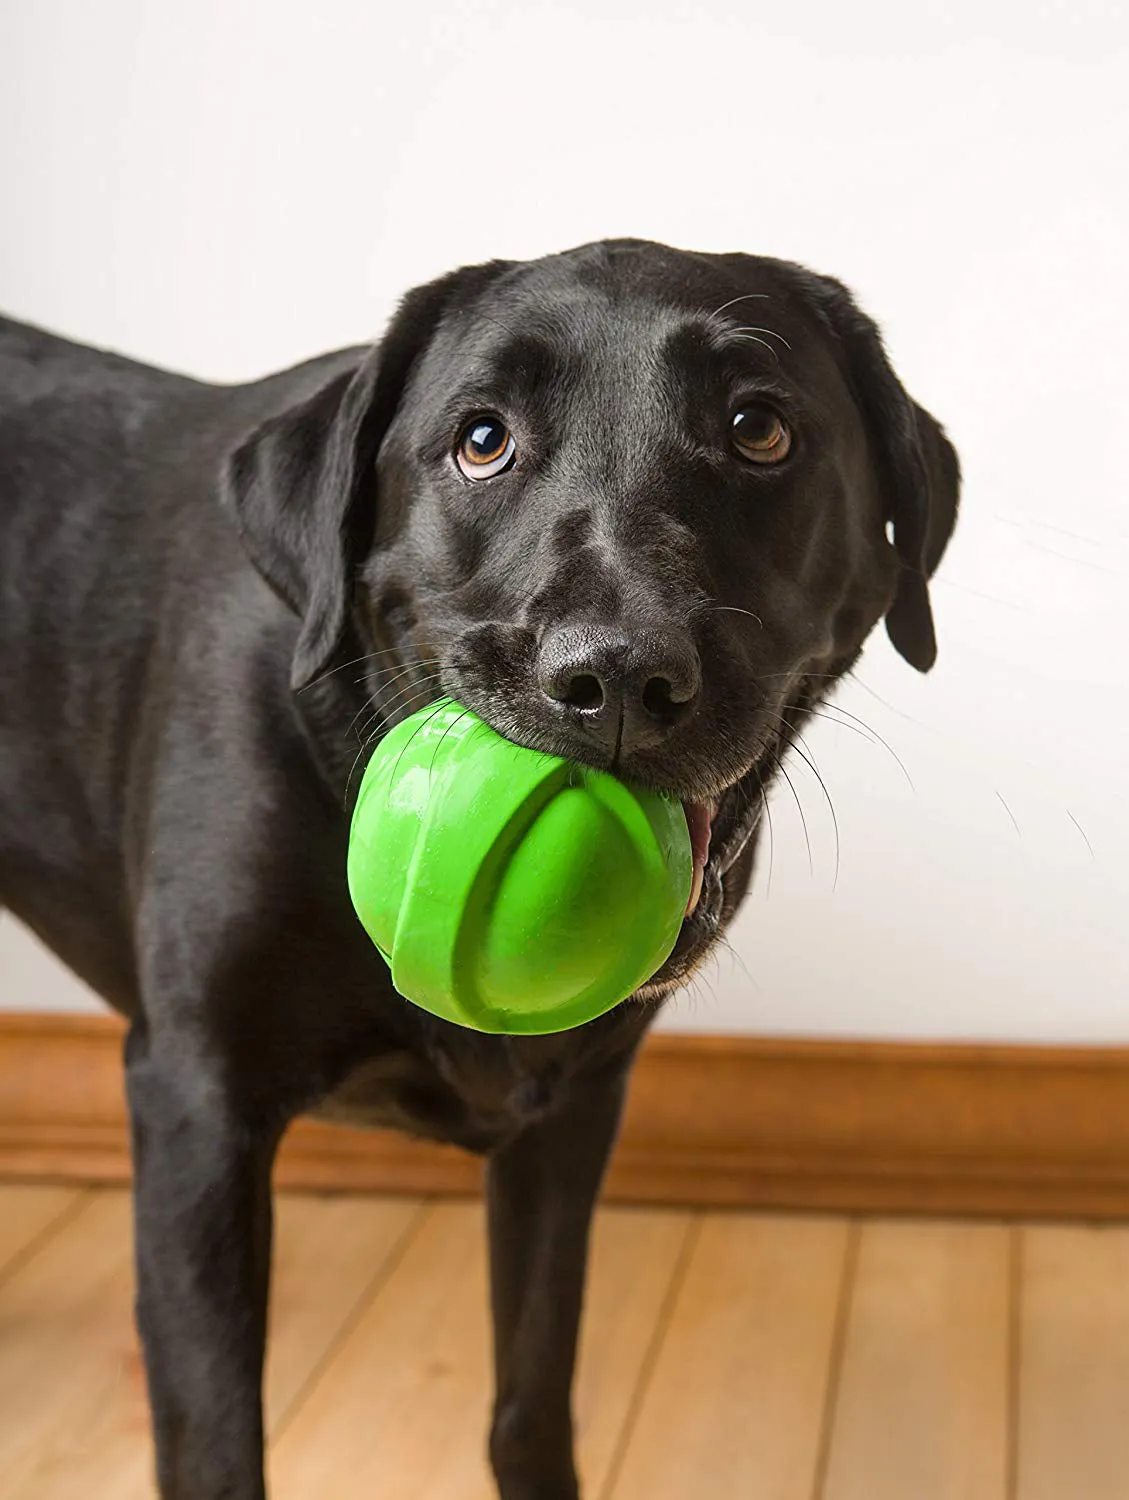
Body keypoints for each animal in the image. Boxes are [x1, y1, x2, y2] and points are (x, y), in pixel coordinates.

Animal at [0, 240, 953, 1494]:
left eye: (759, 427)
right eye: (482, 437)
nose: (616, 676)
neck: (351, 739)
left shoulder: (571, 1113)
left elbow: (531, 1396)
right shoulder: (196, 1105)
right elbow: (216, 1439)